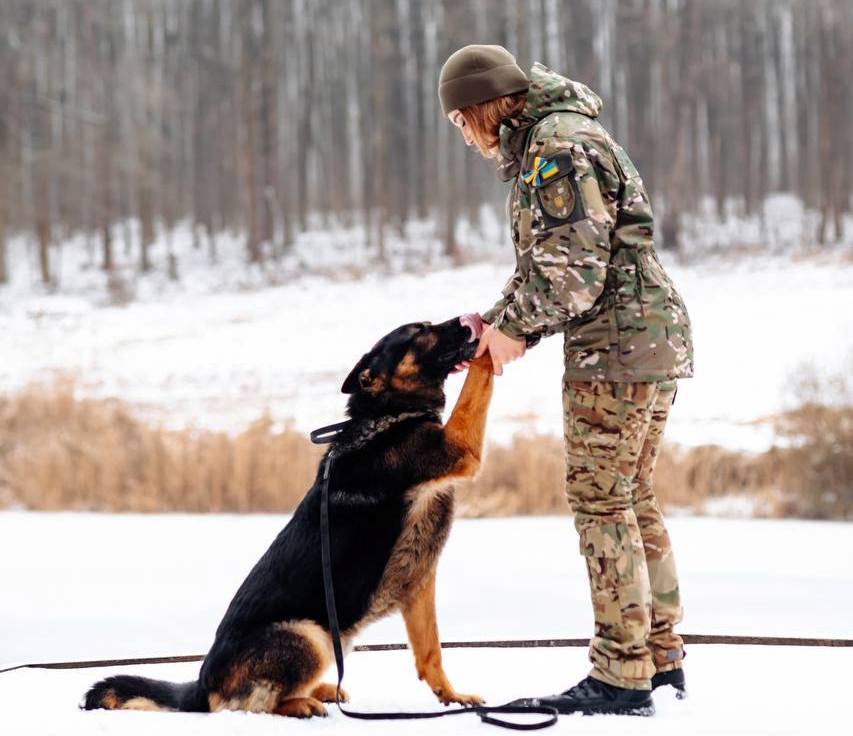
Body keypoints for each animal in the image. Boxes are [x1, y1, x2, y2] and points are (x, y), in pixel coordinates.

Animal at [81, 316, 492, 720]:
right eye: (419, 330)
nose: (469, 319)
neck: (387, 414)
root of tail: (200, 687)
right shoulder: (458, 445)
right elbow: (479, 382)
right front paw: (493, 342)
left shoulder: (419, 583)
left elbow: (430, 651)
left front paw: (452, 696)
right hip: (312, 635)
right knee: (253, 705)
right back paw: (303, 703)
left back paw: (320, 691)